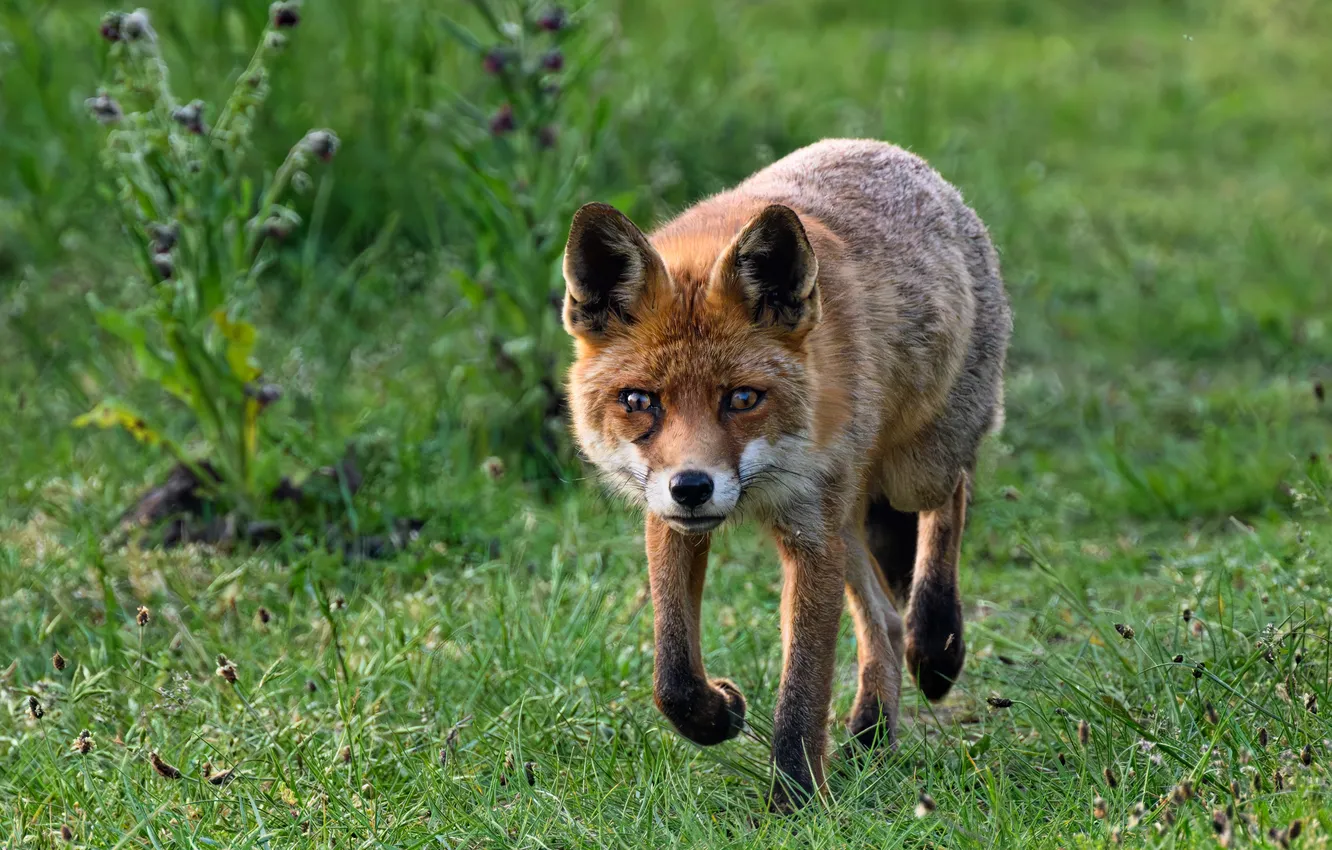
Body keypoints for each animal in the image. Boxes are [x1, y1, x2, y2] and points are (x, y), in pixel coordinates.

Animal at [561, 139, 1011, 809]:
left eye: (743, 399)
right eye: (640, 401)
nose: (692, 487)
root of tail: (887, 150)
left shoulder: (809, 535)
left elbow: (802, 686)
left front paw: (796, 799)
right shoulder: (672, 523)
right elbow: (673, 676)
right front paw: (717, 716)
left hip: (912, 473)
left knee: (950, 499)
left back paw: (937, 645)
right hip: (847, 511)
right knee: (882, 617)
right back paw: (872, 730)